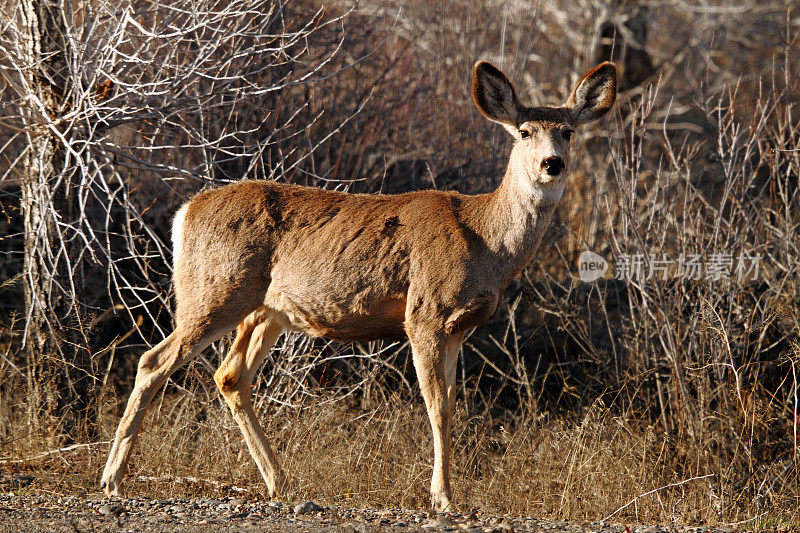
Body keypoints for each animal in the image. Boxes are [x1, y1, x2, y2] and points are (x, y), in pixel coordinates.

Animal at [98, 59, 612, 512]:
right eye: (524, 132)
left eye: (567, 131)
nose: (552, 164)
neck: (484, 238)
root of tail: (185, 213)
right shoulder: (424, 314)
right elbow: (437, 407)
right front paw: (443, 498)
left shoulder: (460, 327)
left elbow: (450, 405)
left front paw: (446, 492)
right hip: (214, 290)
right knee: (153, 360)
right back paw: (113, 480)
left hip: (266, 310)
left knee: (230, 375)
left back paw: (280, 483)